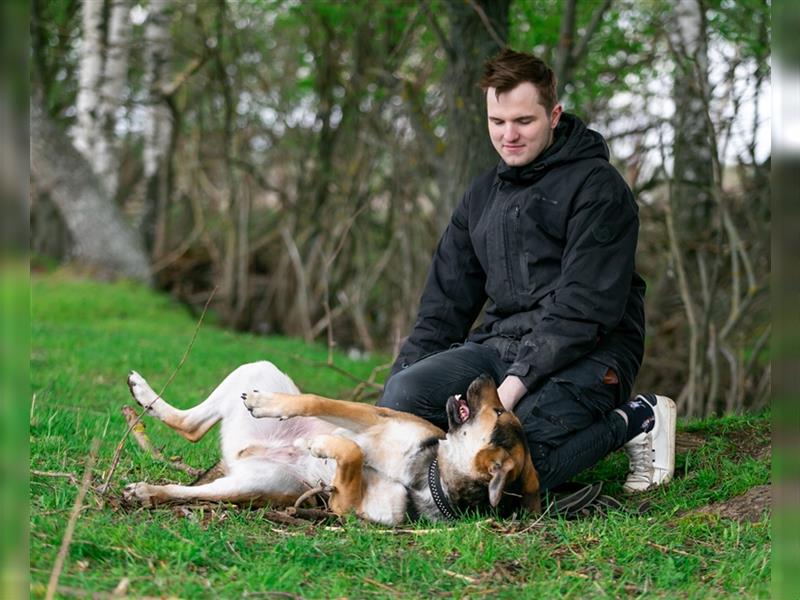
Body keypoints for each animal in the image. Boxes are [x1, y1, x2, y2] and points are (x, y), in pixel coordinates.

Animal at [123, 360, 536, 524]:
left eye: (499, 410)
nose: (487, 374)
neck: (425, 474)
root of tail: (239, 454)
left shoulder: (343, 507)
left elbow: (350, 455)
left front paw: (323, 446)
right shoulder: (376, 417)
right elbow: (318, 403)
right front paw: (272, 406)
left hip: (250, 484)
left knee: (191, 460)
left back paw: (148, 492)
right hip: (255, 369)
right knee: (191, 423)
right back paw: (143, 393)